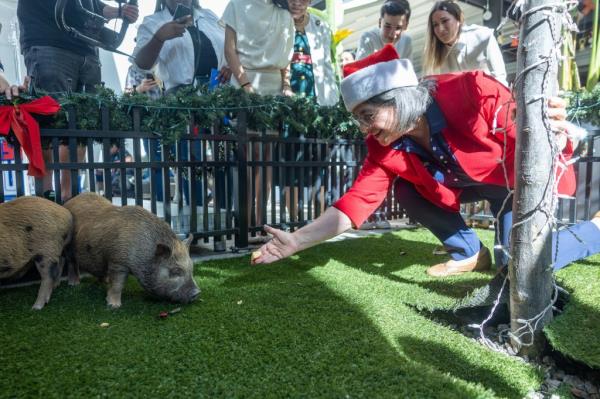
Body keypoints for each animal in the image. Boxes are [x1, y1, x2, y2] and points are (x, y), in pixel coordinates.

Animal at [65, 194, 202, 310]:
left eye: (191, 268)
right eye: (176, 271)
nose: (197, 293)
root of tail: (69, 201)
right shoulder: (118, 260)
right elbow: (118, 284)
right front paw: (114, 306)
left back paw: (105, 280)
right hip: (68, 247)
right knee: (72, 263)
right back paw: (74, 284)